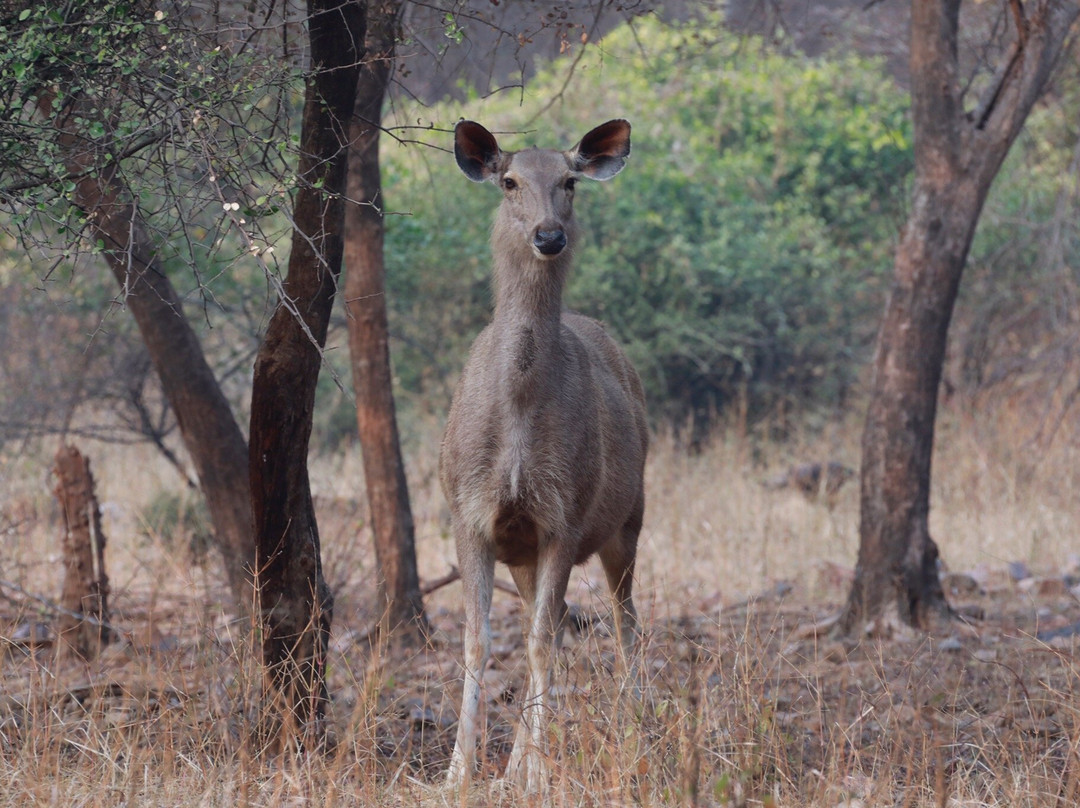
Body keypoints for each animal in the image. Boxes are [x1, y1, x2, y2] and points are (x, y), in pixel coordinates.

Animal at [440, 121, 643, 795]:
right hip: (525, 552)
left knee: (624, 621)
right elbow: (478, 642)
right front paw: (460, 773)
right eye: (509, 181)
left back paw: (634, 730)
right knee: (549, 620)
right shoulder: (469, 513)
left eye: (570, 180)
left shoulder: (565, 515)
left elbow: (537, 646)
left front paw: (531, 776)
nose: (548, 235)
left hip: (629, 518)